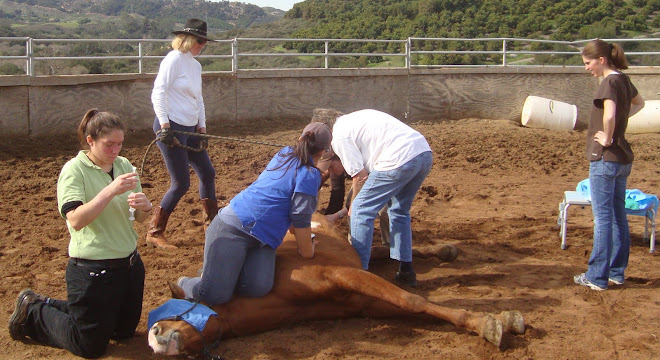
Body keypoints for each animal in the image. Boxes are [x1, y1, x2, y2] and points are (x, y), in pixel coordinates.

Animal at [150, 215, 524, 356]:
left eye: (170, 312)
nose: (155, 337)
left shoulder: (344, 275)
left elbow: (413, 301)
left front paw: (492, 324)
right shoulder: (364, 302)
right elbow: (411, 306)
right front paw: (495, 322)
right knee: (380, 253)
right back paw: (444, 251)